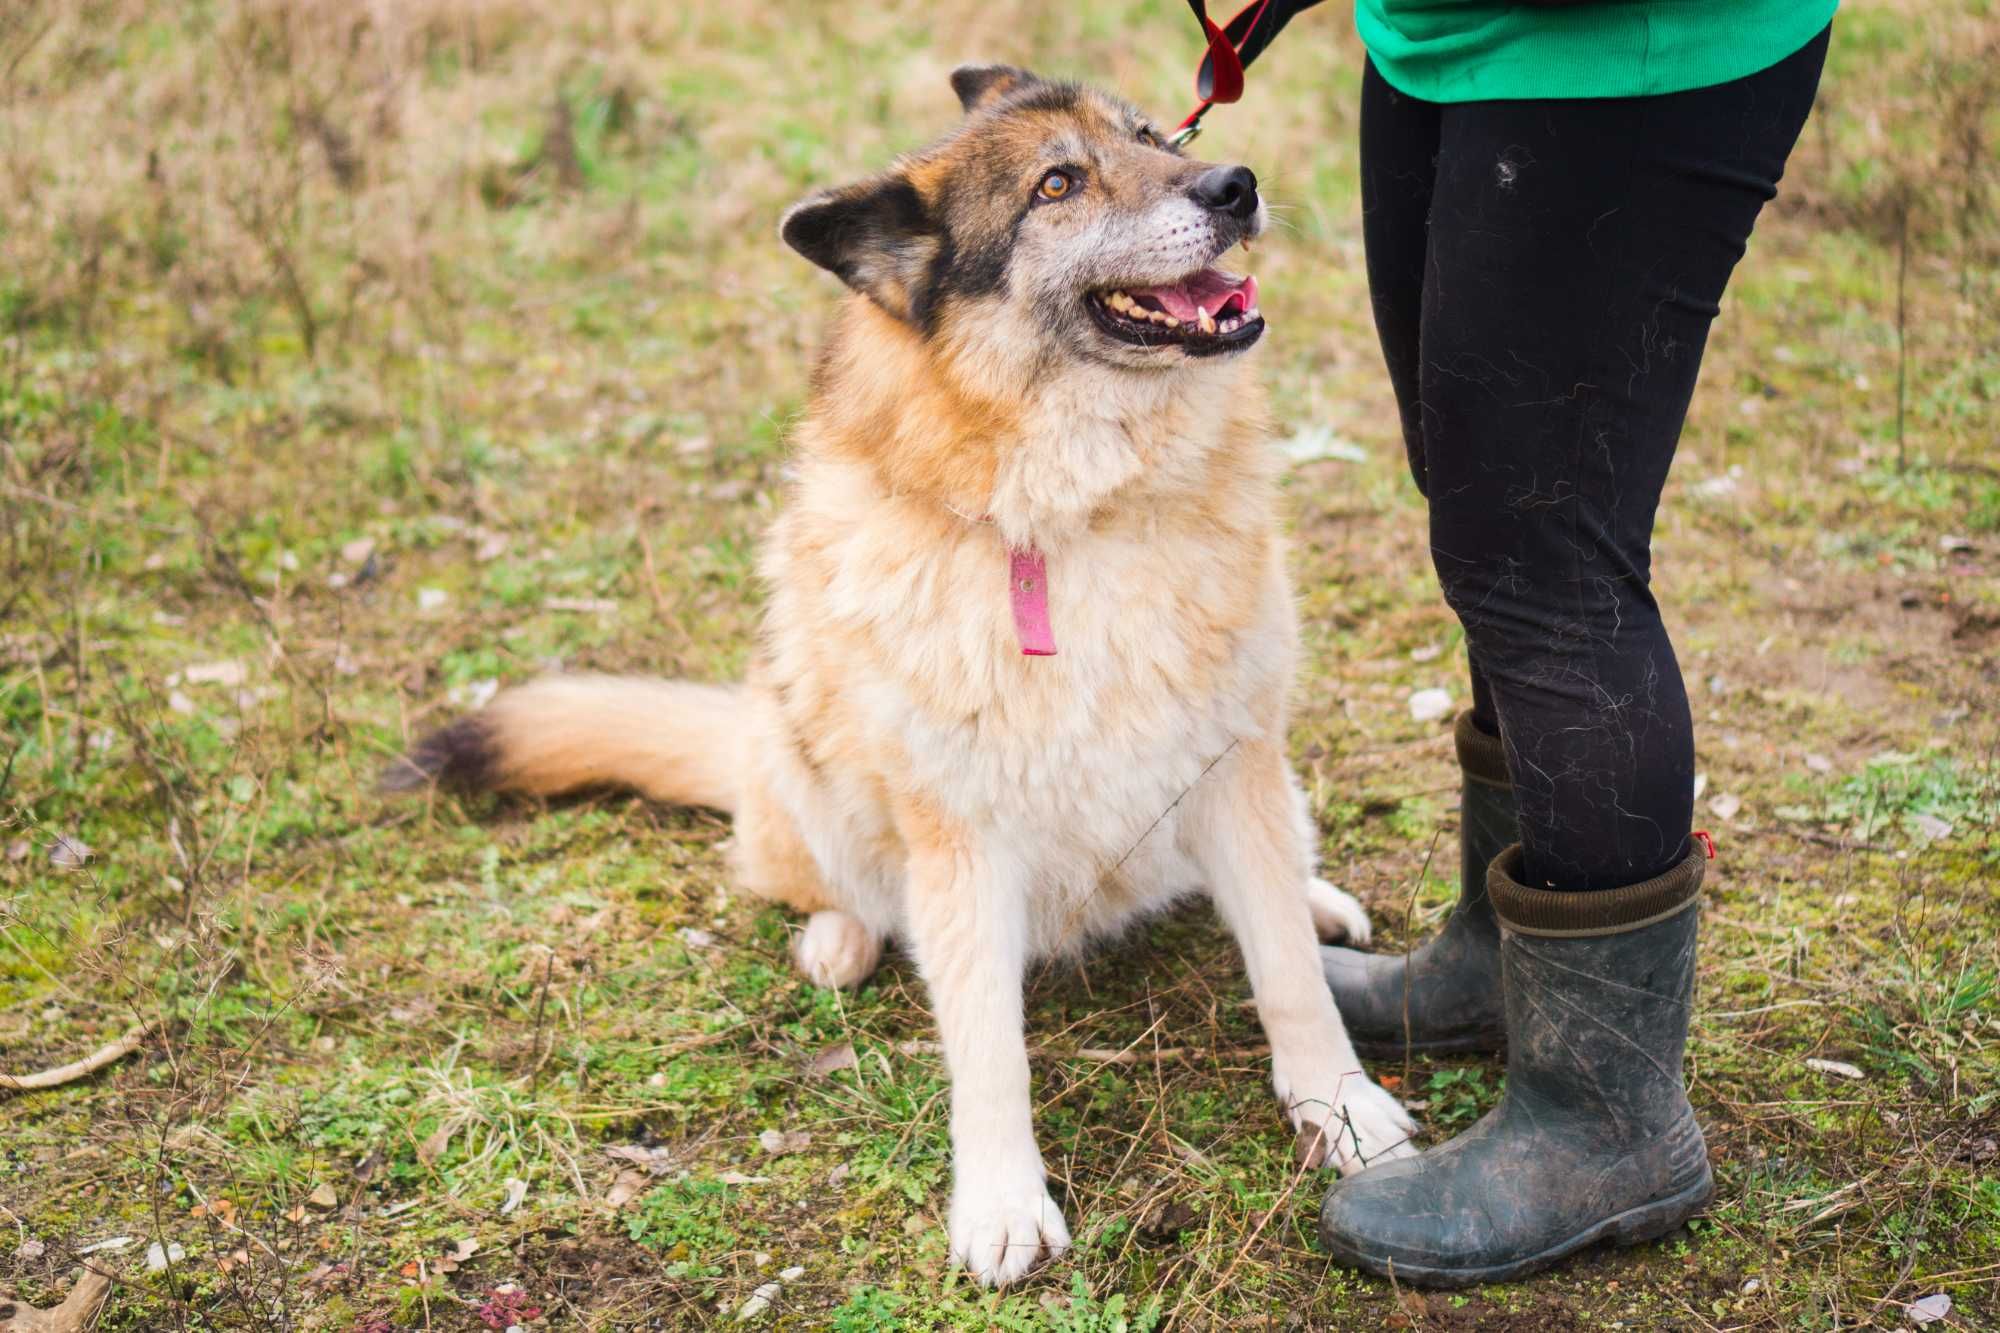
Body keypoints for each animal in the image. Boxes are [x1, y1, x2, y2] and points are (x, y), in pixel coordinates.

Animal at [390, 65, 1416, 1288]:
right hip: (800, 757)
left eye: (1154, 137)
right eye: (1056, 185)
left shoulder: (1233, 763)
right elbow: (986, 1050)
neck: (1073, 519)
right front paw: (1003, 1203)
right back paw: (840, 938)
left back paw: (1312, 896)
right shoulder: (961, 841)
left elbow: (1288, 980)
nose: (1234, 184)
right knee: (818, 880)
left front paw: (1343, 1110)